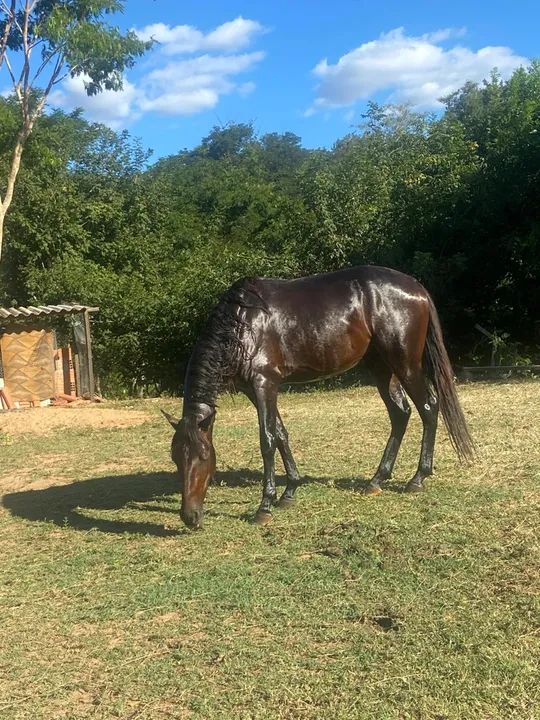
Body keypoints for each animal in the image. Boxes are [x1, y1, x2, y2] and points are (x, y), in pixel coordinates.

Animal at [162, 265, 474, 529]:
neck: (243, 323)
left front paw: (265, 506)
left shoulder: (264, 384)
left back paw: (418, 478)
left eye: (204, 455)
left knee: (428, 408)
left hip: (405, 364)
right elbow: (281, 433)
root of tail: (416, 287)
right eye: (176, 457)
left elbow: (267, 440)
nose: (189, 517)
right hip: (381, 367)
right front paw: (289, 491)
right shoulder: (256, 390)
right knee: (400, 414)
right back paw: (377, 479)